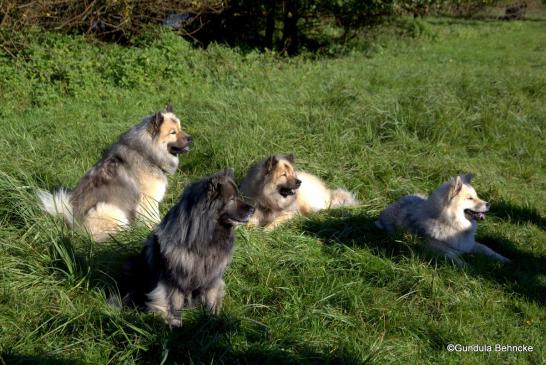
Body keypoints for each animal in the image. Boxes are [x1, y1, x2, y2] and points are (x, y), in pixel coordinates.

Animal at [374, 172, 510, 264]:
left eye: (476, 196)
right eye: (470, 198)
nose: (489, 204)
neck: (451, 223)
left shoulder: (469, 244)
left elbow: (488, 249)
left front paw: (504, 259)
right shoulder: (433, 247)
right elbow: (453, 256)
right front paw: (466, 266)